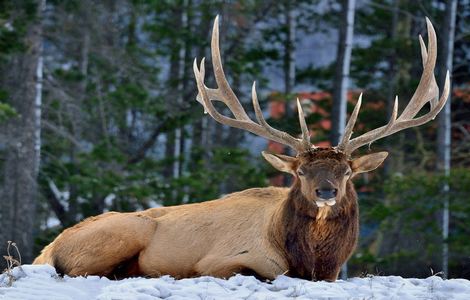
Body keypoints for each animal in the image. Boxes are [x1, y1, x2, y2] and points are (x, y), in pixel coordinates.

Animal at [35, 17, 450, 282]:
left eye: (346, 171)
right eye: (300, 171)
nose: (326, 191)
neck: (312, 260)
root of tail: (48, 248)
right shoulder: (223, 261)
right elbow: (259, 273)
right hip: (124, 232)